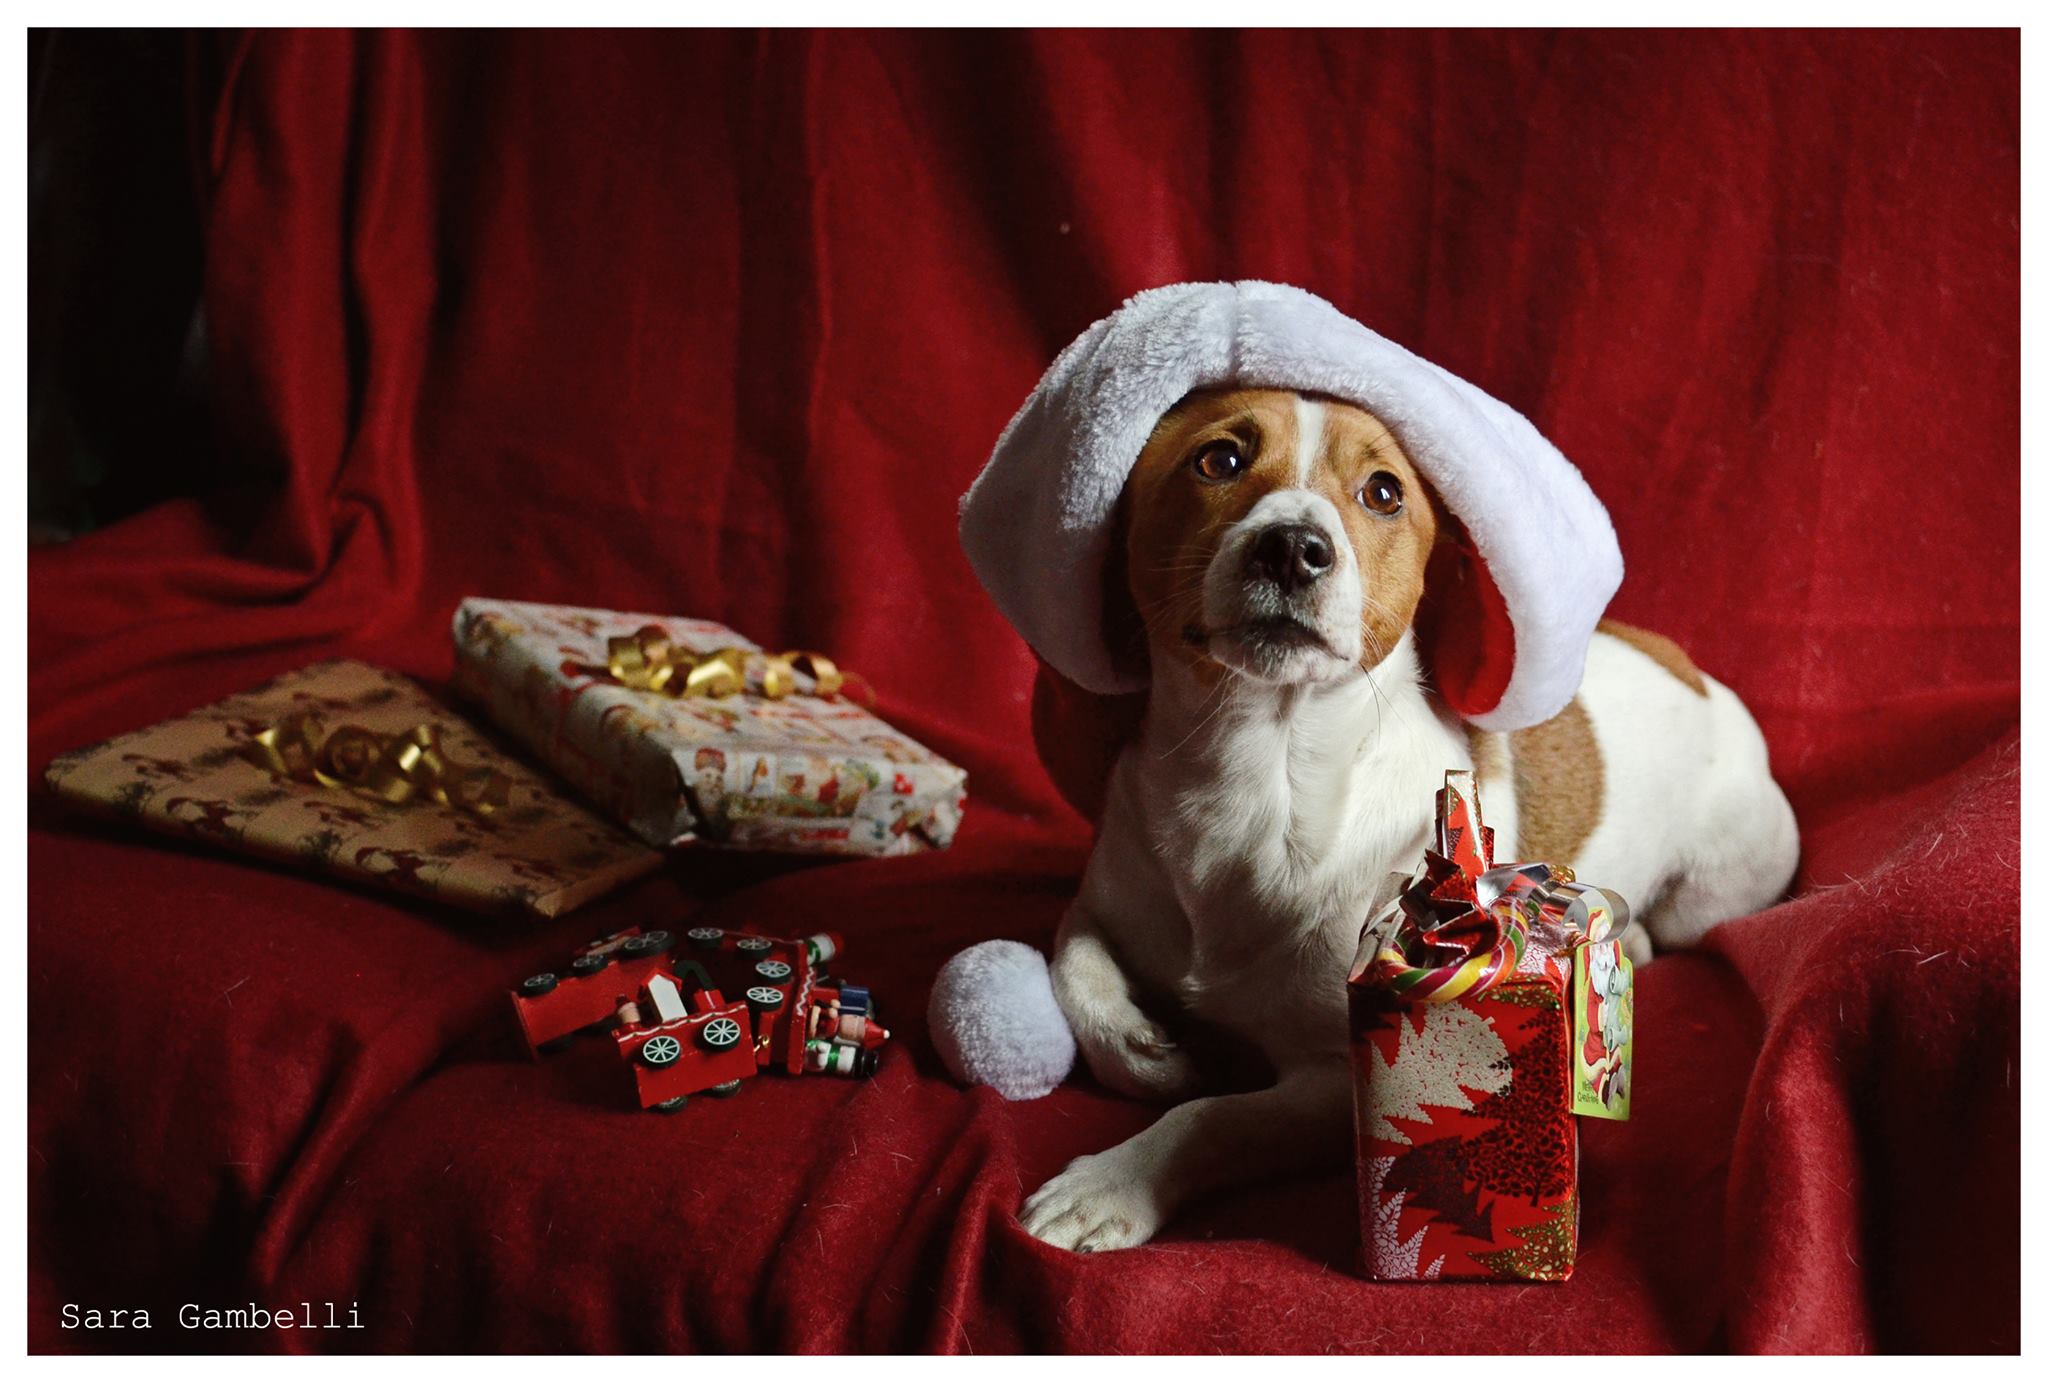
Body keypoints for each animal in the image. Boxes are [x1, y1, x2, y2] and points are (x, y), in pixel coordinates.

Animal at [1015, 387, 1802, 1253]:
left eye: (1384, 492)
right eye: (1217, 459)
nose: (1293, 547)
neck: (1262, 770)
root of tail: (1693, 669)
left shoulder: (1340, 1074)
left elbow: (1212, 1116)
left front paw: (1112, 1180)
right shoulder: (1104, 901)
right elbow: (1071, 967)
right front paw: (1142, 1046)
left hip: (1714, 891)